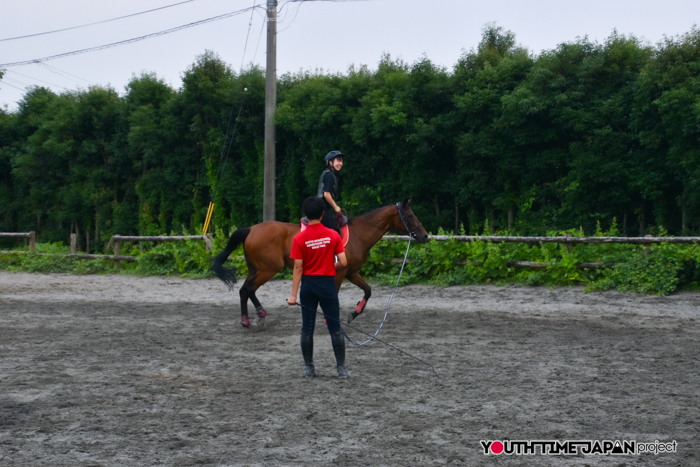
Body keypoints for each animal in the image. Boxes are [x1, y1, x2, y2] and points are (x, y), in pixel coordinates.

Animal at [212, 200, 430, 327]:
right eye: (410, 215)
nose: (425, 236)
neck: (358, 235)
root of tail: (251, 229)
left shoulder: (351, 273)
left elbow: (368, 291)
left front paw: (354, 313)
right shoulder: (340, 273)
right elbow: (335, 294)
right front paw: (330, 318)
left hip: (256, 269)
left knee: (245, 290)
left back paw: (251, 317)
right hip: (268, 269)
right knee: (248, 289)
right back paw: (255, 315)